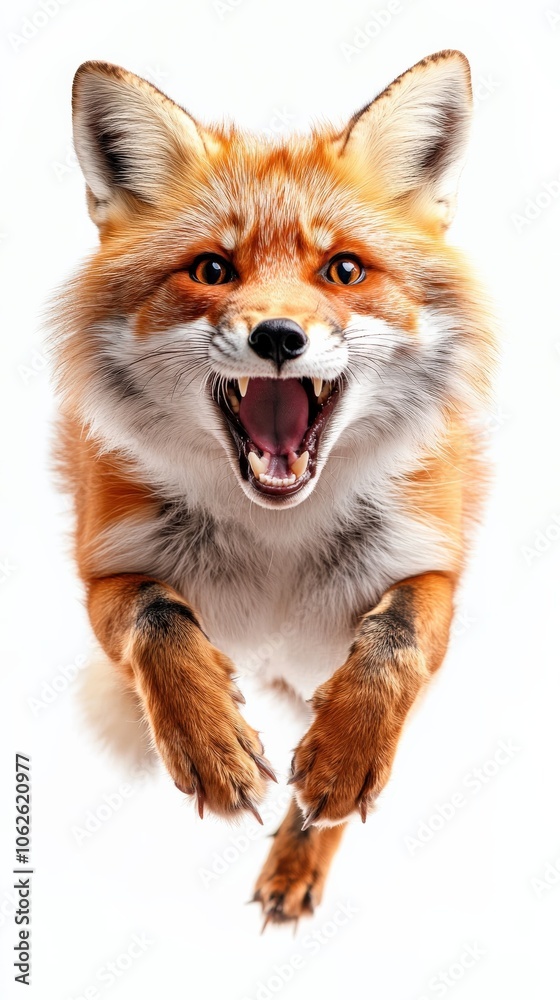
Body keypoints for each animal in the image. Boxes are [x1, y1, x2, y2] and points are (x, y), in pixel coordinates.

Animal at [48, 50, 496, 926]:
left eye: (344, 270)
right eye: (213, 270)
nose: (279, 337)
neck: (279, 537)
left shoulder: (430, 566)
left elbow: (393, 648)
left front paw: (339, 770)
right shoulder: (106, 567)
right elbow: (158, 622)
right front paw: (207, 742)